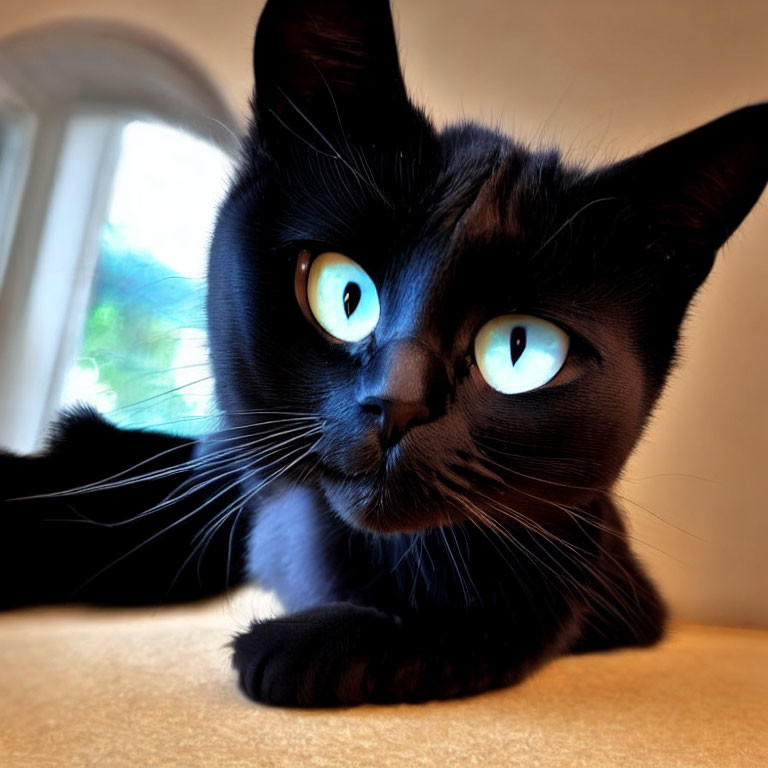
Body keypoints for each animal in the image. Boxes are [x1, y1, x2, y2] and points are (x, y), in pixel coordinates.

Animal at [1, 0, 768, 708]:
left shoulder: (601, 573)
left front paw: (302, 647)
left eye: (520, 349)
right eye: (346, 294)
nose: (396, 405)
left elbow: (503, 610)